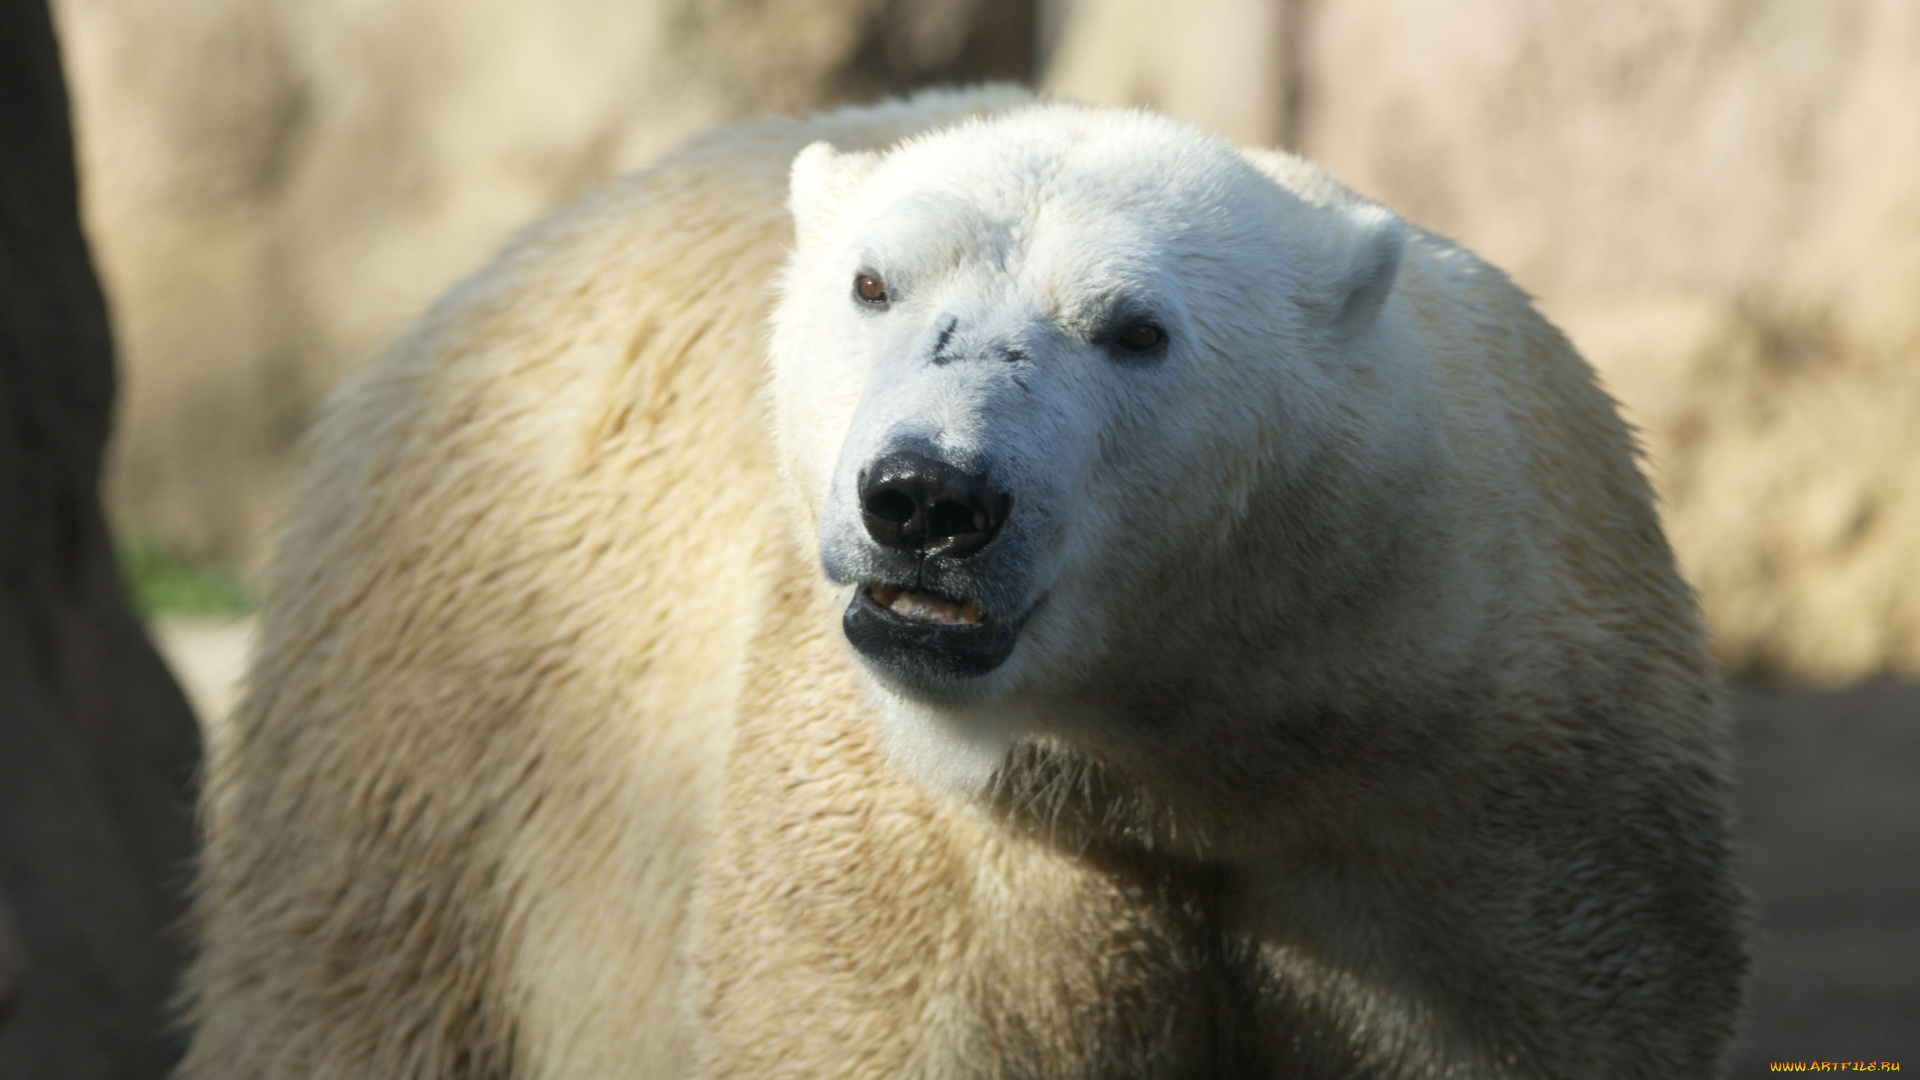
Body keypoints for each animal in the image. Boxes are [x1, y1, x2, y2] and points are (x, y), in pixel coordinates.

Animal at [181, 87, 1748, 1079]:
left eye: (1134, 329)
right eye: (873, 285)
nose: (928, 498)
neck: (1202, 747)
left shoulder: (1483, 808)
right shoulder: (941, 859)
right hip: (449, 740)